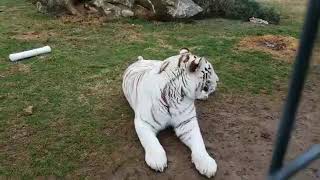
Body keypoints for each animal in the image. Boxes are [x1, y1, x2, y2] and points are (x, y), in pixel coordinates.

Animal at [121, 48, 219, 178]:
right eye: (210, 70)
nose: (218, 80)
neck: (175, 96)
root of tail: (140, 61)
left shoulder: (187, 122)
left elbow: (199, 142)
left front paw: (207, 164)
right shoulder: (144, 122)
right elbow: (150, 141)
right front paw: (157, 160)